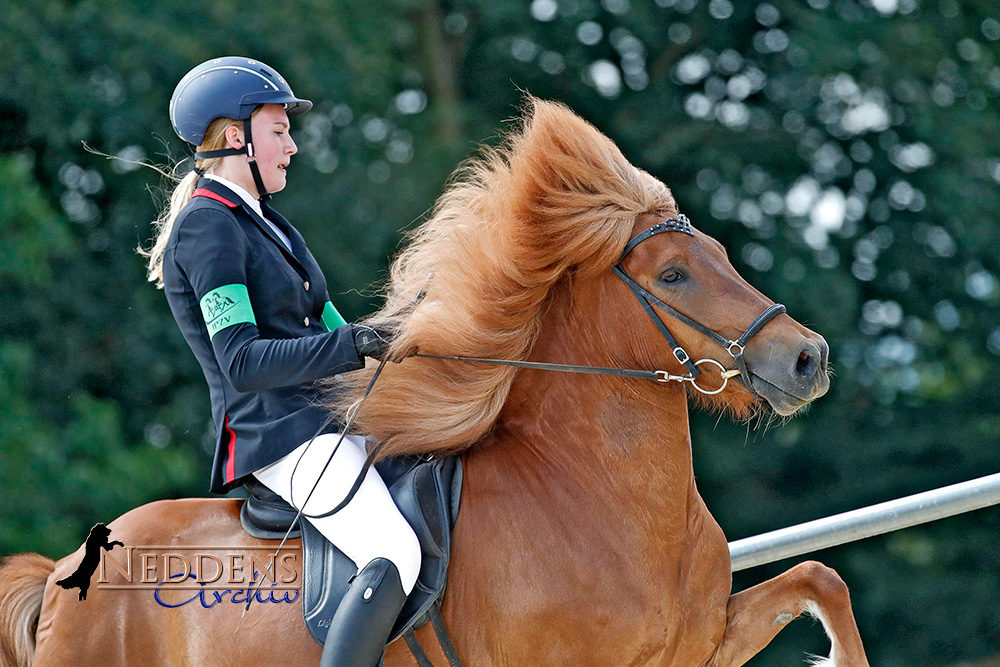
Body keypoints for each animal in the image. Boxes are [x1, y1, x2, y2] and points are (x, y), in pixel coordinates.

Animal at [0, 100, 868, 667]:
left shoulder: (699, 646)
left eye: (717, 253)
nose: (807, 357)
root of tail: (62, 576)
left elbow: (820, 576)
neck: (597, 501)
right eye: (675, 274)